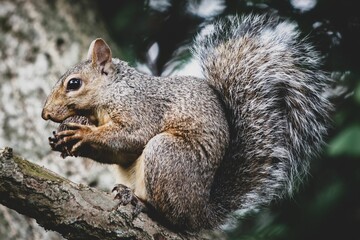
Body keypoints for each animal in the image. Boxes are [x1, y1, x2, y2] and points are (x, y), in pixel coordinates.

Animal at [41, 14, 332, 231]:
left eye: (74, 84)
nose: (45, 113)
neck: (113, 91)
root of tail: (201, 212)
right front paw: (62, 138)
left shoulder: (142, 108)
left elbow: (132, 136)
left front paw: (82, 134)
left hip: (166, 154)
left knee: (171, 217)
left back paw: (142, 203)